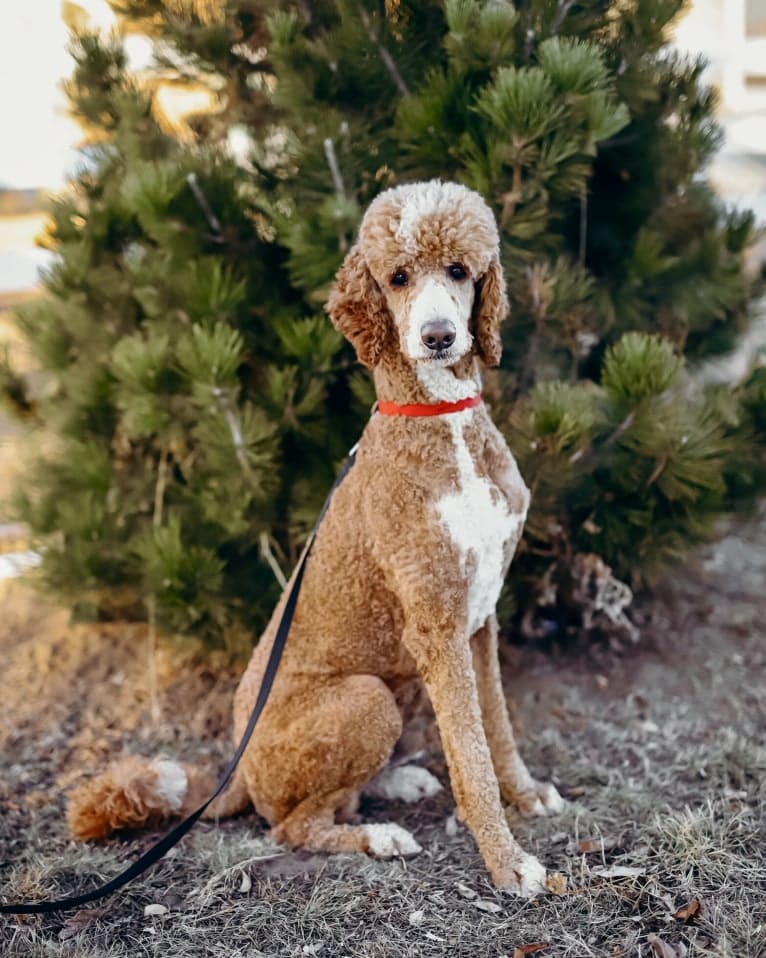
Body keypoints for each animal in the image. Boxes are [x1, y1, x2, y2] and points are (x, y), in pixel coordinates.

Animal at [70, 180, 564, 900]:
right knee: (292, 824)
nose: (438, 336)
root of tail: (237, 767)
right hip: (367, 697)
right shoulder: (438, 627)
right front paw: (509, 863)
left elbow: (495, 728)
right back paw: (376, 835)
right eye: (397, 278)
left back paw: (395, 779)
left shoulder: (478, 621)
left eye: (459, 271)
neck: (440, 422)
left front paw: (526, 796)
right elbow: (470, 758)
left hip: (395, 674)